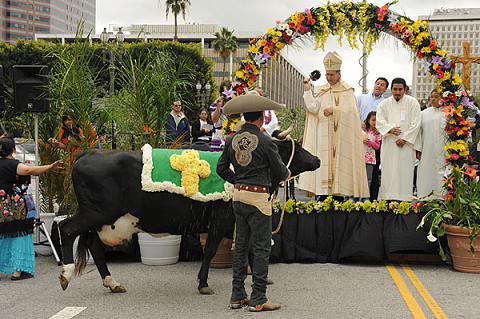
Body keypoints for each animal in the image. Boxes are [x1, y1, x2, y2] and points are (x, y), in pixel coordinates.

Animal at [58, 129, 320, 296]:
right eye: (299, 148)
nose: (317, 159)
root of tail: (90, 153)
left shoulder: (238, 222)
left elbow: (248, 248)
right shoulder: (220, 221)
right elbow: (211, 251)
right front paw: (203, 283)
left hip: (103, 219)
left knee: (94, 246)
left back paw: (112, 283)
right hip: (97, 212)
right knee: (66, 228)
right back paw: (66, 273)